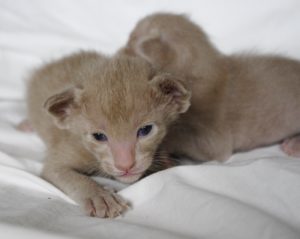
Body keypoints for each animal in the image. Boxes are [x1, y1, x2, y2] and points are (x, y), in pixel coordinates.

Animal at [25, 51, 190, 218]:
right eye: (98, 136)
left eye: (145, 130)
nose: (125, 166)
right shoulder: (64, 154)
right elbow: (65, 175)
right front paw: (99, 196)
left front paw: (164, 161)